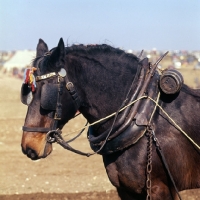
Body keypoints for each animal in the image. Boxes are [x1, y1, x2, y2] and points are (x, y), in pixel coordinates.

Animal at [20, 38, 200, 199]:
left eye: (47, 93)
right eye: (28, 91)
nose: (29, 146)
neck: (147, 119)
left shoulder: (159, 189)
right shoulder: (127, 191)